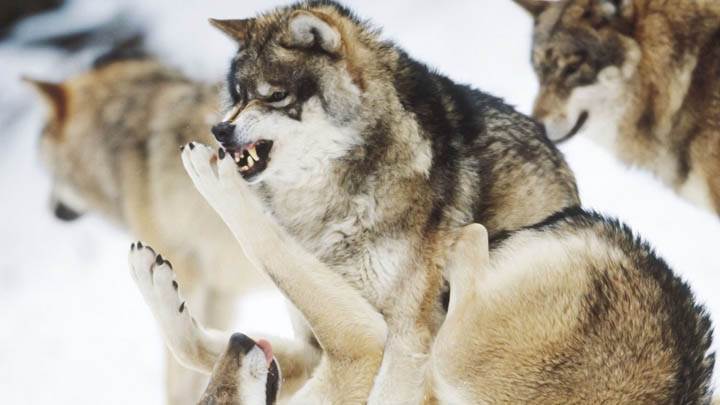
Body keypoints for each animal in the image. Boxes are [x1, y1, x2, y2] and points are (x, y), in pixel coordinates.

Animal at [129, 150, 714, 403]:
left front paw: (218, 179)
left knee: (467, 255)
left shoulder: (360, 345)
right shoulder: (343, 353)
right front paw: (154, 282)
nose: (240, 339)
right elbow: (194, 348)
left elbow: (266, 245)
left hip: (461, 364)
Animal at [202, 0, 579, 401]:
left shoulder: (406, 334)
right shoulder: (316, 334)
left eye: (274, 95)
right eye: (239, 95)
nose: (220, 130)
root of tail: (556, 154)